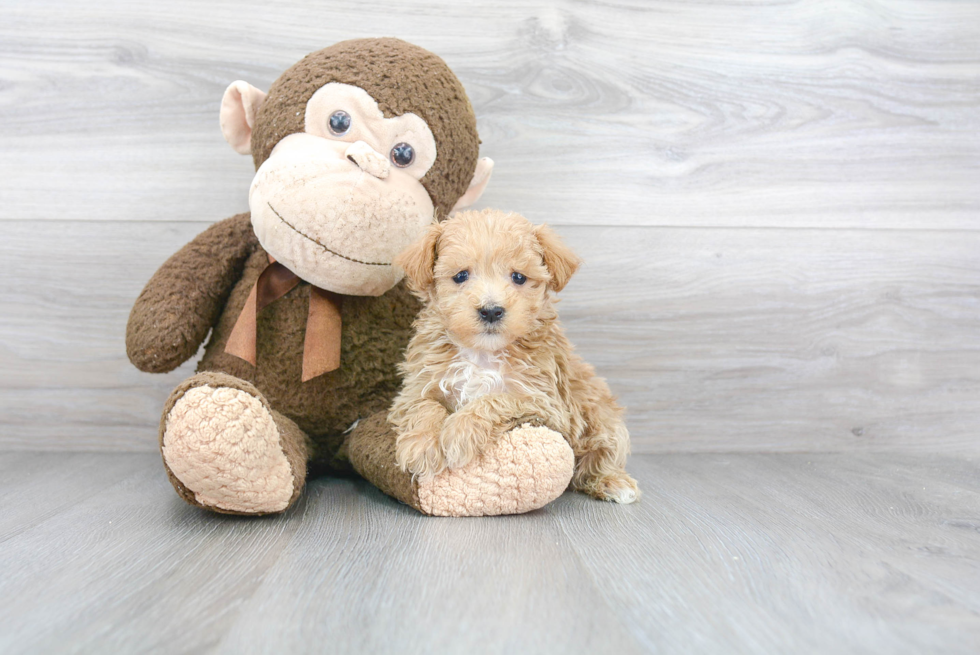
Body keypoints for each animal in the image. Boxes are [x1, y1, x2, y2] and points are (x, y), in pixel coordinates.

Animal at [386, 208, 640, 504]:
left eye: (518, 277)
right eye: (460, 276)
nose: (491, 310)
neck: (482, 353)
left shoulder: (544, 403)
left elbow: (495, 400)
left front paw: (459, 433)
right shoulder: (415, 387)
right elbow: (425, 407)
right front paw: (422, 445)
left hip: (602, 416)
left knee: (602, 453)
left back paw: (613, 482)